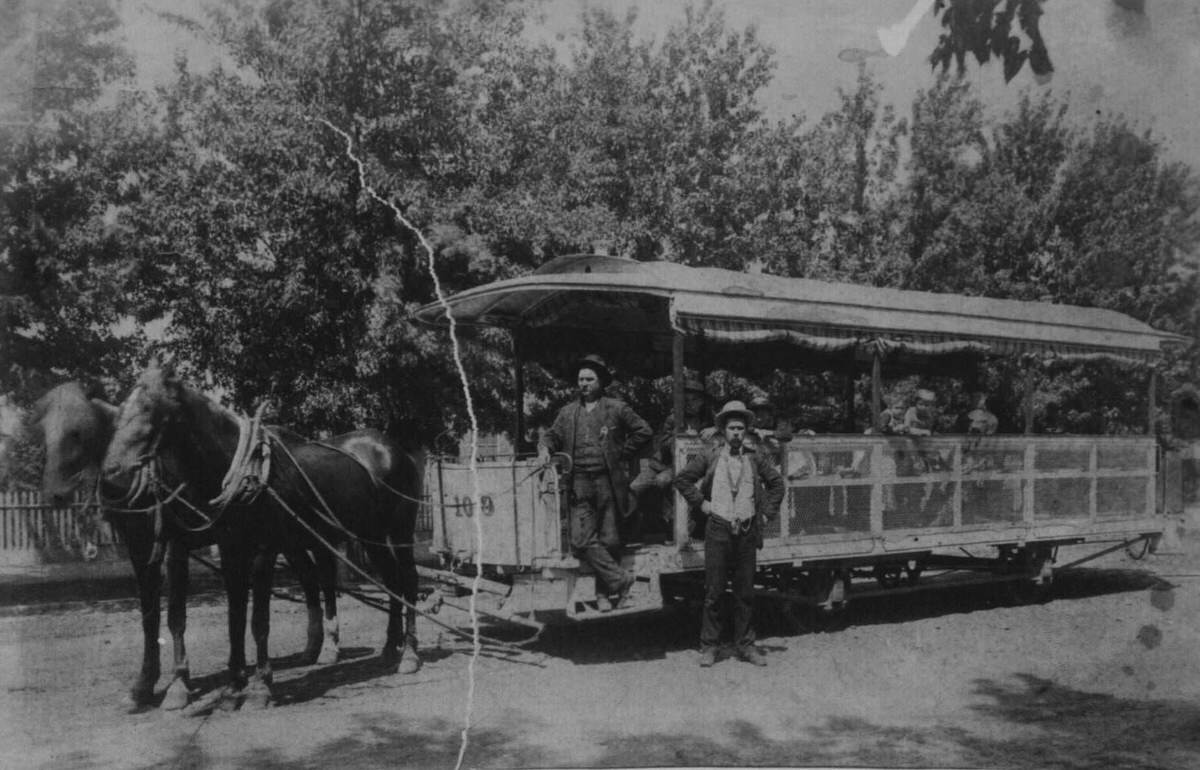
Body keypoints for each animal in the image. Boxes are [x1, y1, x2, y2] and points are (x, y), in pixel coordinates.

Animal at [34, 381, 333, 705]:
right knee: (309, 578)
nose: (54, 494)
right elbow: (149, 615)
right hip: (287, 541)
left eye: (77, 432)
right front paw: (143, 686)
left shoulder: (176, 544)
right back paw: (311, 648)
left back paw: (330, 649)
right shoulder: (139, 548)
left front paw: (178, 685)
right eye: (43, 432)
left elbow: (176, 615)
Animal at [102, 362, 427, 686]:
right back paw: (388, 647)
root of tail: (391, 448)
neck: (243, 471)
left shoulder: (256, 548)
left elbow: (255, 618)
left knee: (407, 579)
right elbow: (231, 615)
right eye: (118, 414)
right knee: (388, 580)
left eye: (148, 408)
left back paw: (409, 655)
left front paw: (255, 683)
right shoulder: (223, 546)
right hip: (369, 535)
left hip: (398, 530)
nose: (112, 475)